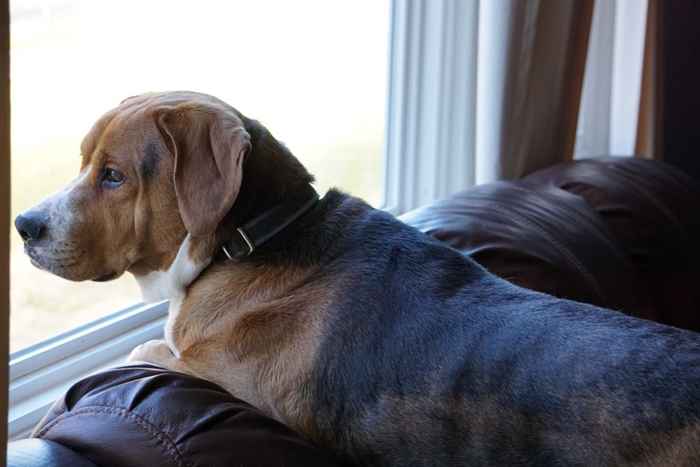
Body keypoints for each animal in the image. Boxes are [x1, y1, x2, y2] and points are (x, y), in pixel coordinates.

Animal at [15, 90, 700, 464]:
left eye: (113, 175)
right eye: (85, 162)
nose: (24, 225)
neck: (253, 239)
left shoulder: (201, 365)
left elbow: (142, 347)